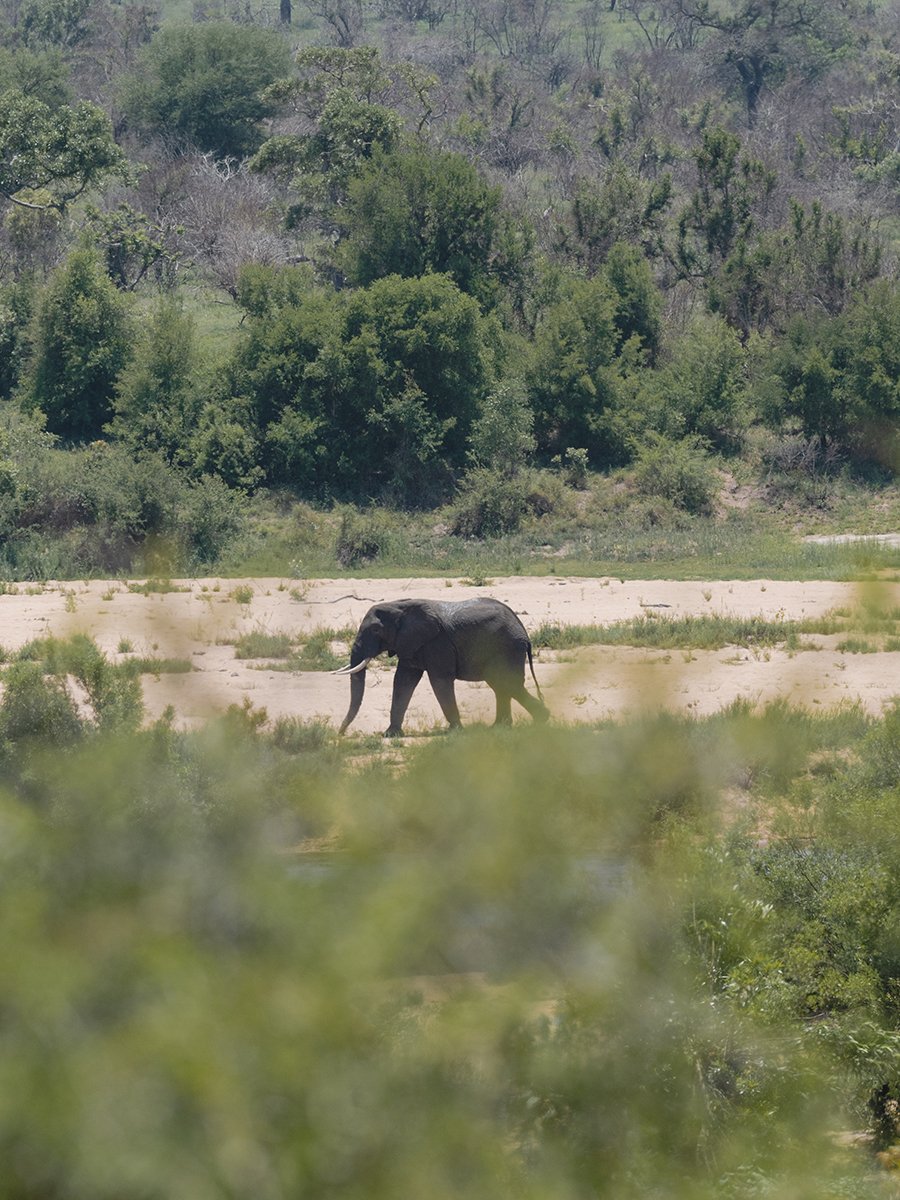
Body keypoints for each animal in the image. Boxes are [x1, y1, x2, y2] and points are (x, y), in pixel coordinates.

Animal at [336, 597, 549, 734]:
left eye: (375, 630)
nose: (340, 733)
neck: (399, 606)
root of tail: (524, 632)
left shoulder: (438, 643)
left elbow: (439, 681)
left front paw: (456, 731)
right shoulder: (412, 643)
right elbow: (403, 680)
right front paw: (390, 735)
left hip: (507, 648)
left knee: (506, 683)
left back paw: (541, 720)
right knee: (501, 686)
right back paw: (500, 727)